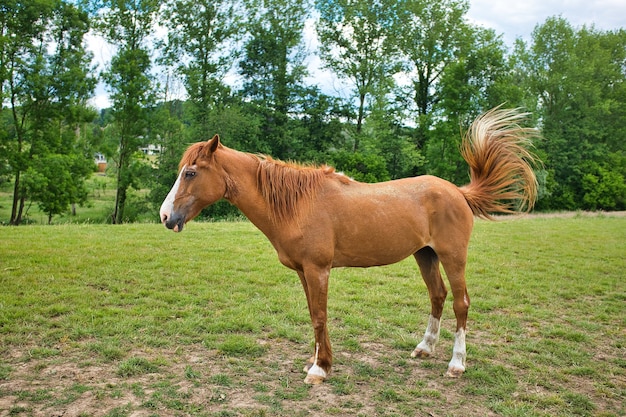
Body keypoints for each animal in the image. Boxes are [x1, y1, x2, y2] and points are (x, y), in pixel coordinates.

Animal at [160, 107, 536, 384]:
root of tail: (458, 192)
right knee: (437, 296)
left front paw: (319, 370)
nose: (165, 215)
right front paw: (318, 361)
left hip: (452, 256)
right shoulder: (304, 273)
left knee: (461, 303)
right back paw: (424, 349)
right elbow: (314, 315)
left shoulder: (318, 271)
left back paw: (456, 364)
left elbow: (320, 316)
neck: (297, 204)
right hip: (425, 255)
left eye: (191, 172)